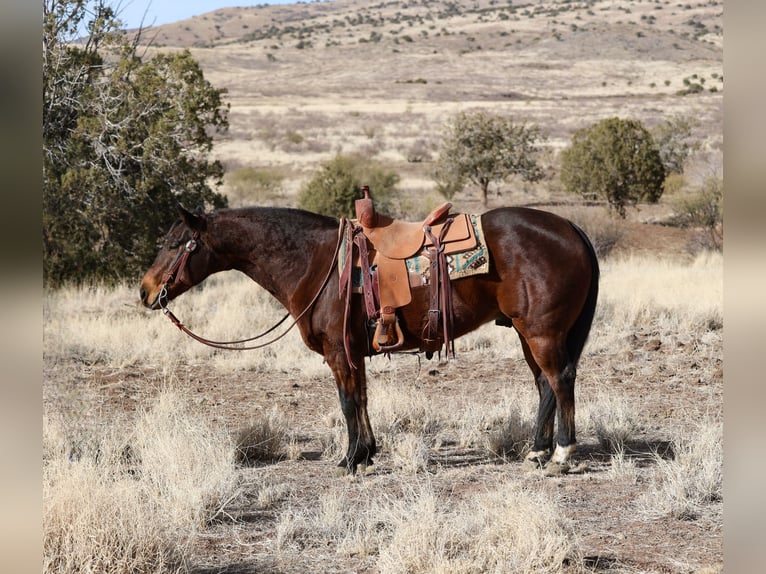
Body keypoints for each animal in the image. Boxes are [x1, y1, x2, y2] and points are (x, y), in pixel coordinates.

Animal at [141, 205, 604, 474]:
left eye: (174, 243)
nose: (145, 291)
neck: (317, 262)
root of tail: (571, 228)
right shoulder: (354, 352)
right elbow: (362, 400)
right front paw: (366, 453)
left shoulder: (337, 351)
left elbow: (347, 402)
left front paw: (350, 460)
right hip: (529, 334)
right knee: (545, 385)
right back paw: (538, 452)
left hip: (542, 333)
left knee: (560, 379)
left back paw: (561, 455)